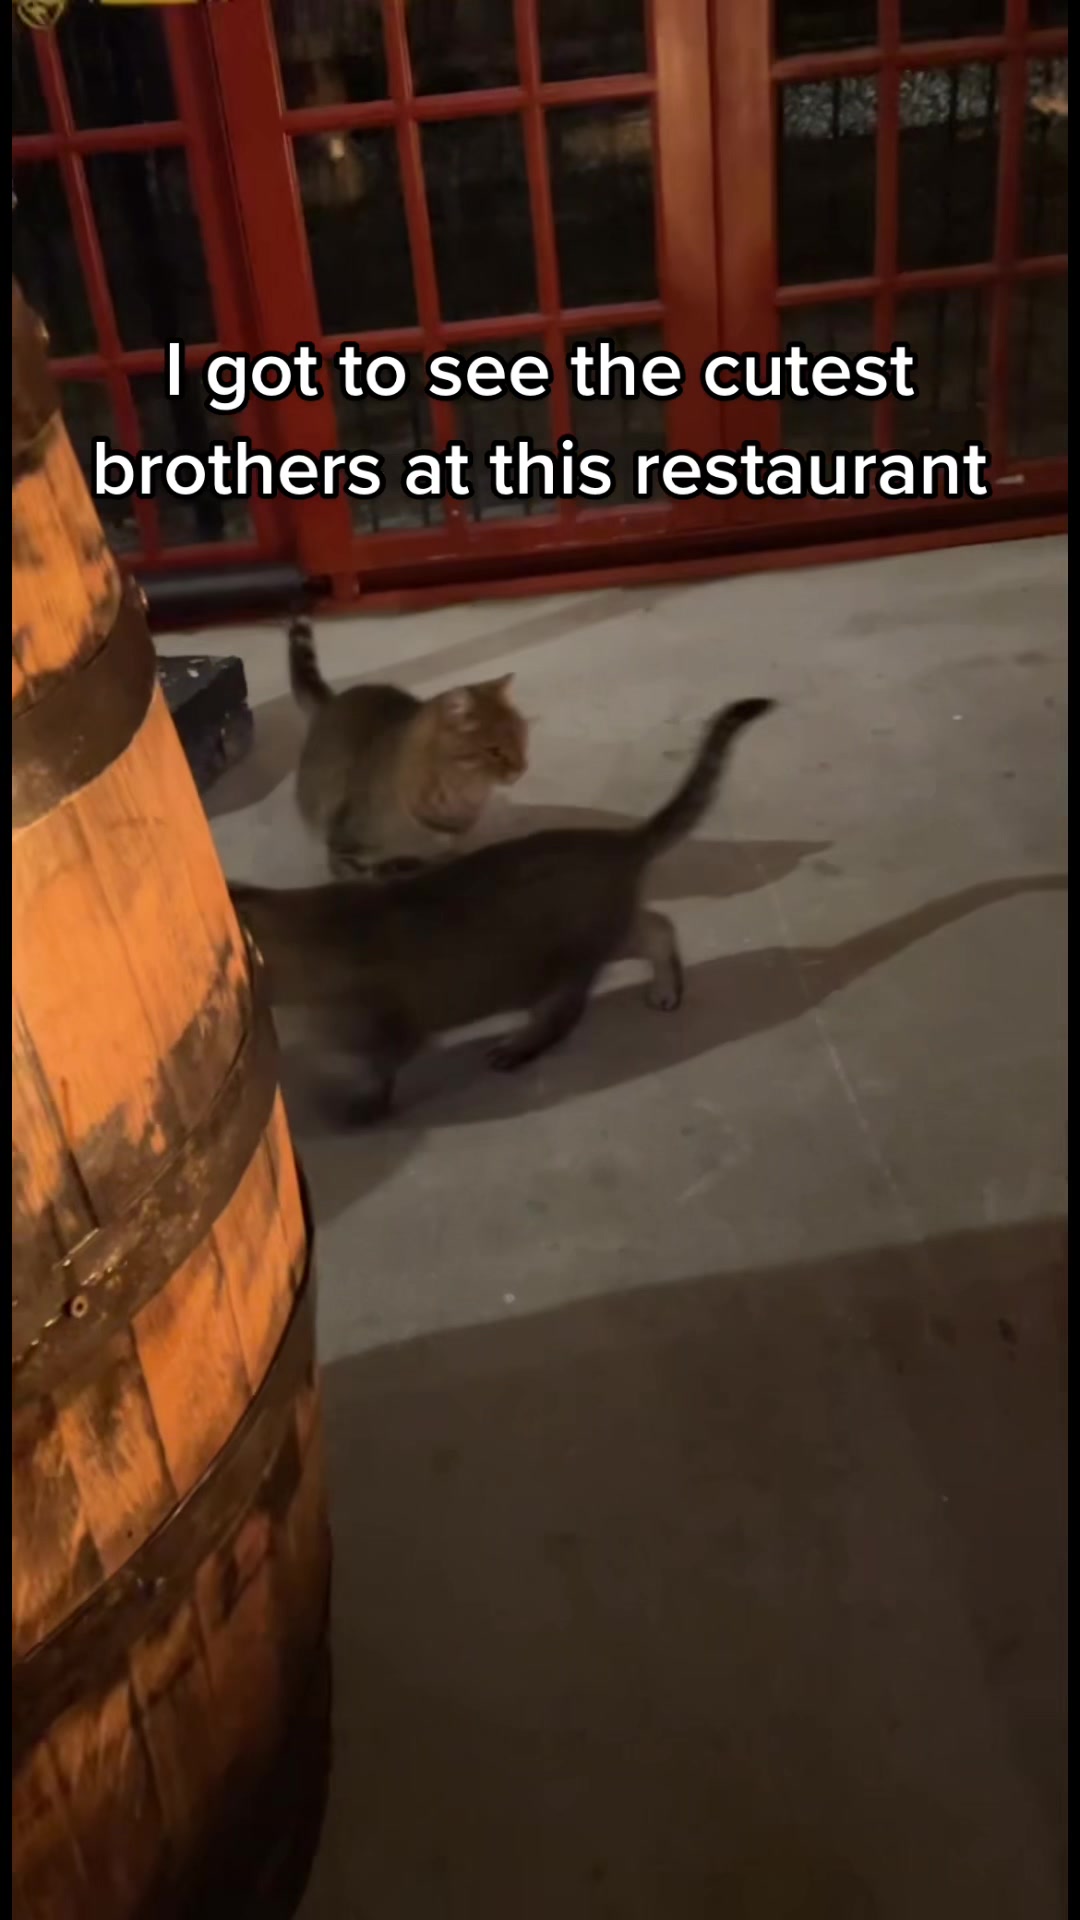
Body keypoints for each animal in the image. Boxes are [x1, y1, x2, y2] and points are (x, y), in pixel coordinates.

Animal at [231, 698, 775, 1119]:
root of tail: (619, 842)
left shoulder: (387, 1031)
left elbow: (375, 1074)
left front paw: (356, 1106)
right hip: (607, 931)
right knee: (658, 927)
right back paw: (665, 986)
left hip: (565, 960)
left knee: (567, 1010)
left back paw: (521, 1045)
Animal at [288, 617, 529, 880]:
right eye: (494, 751)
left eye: (522, 738)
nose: (523, 768)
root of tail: (331, 701)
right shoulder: (346, 836)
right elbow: (348, 869)